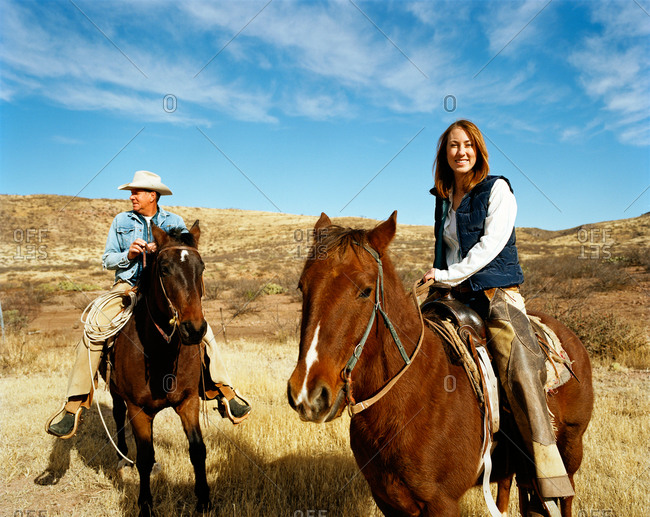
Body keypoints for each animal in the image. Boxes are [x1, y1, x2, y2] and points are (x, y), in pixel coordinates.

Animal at [106, 222, 208, 516]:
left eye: (201, 267)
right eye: (164, 268)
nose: (194, 329)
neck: (160, 352)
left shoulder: (188, 402)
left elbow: (197, 450)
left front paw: (204, 500)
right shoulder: (137, 409)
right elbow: (144, 457)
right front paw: (145, 505)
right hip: (115, 391)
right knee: (117, 416)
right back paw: (121, 458)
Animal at [288, 212, 592, 512]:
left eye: (364, 290)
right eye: (303, 286)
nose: (308, 394)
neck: (411, 399)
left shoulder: (441, 502)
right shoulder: (385, 498)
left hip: (570, 450)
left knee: (565, 496)